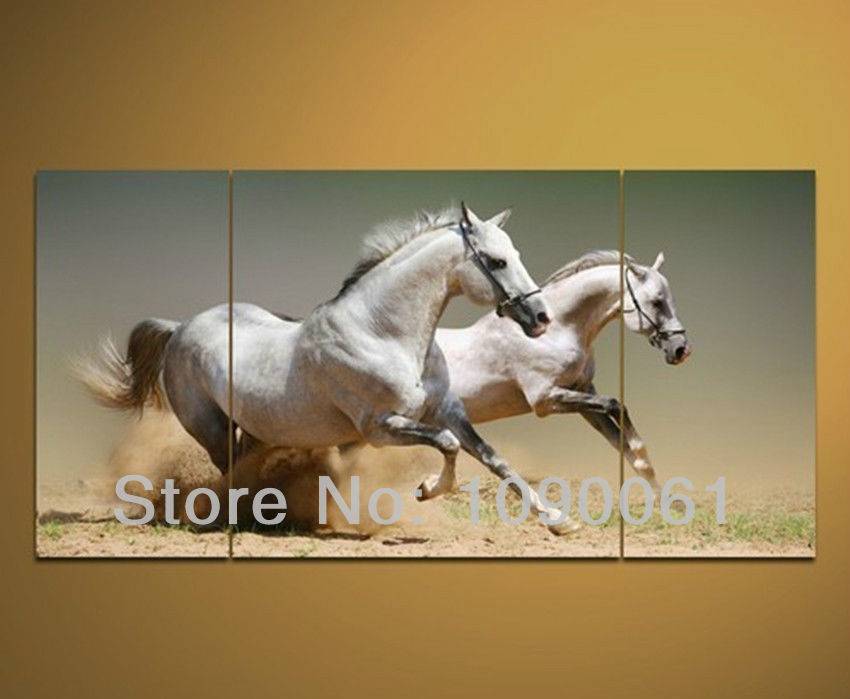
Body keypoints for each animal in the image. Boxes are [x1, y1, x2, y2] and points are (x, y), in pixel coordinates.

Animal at [79, 203, 579, 531]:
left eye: (516, 255)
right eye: (496, 261)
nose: (540, 318)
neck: (382, 333)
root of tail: (180, 327)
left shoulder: (447, 411)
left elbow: (494, 459)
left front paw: (557, 521)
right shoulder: (380, 427)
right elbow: (449, 445)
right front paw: (426, 489)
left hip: (254, 426)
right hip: (210, 427)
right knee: (228, 473)